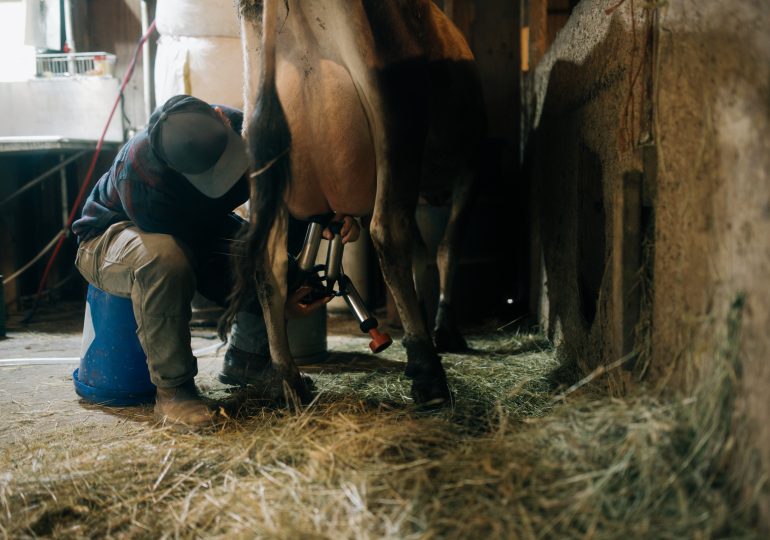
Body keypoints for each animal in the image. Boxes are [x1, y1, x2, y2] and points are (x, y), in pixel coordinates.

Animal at [228, 0, 484, 404]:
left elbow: (423, 256)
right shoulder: (473, 163)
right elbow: (446, 249)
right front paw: (443, 329)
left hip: (259, 144)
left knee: (268, 264)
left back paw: (291, 381)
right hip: (396, 119)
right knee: (388, 234)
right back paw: (428, 372)